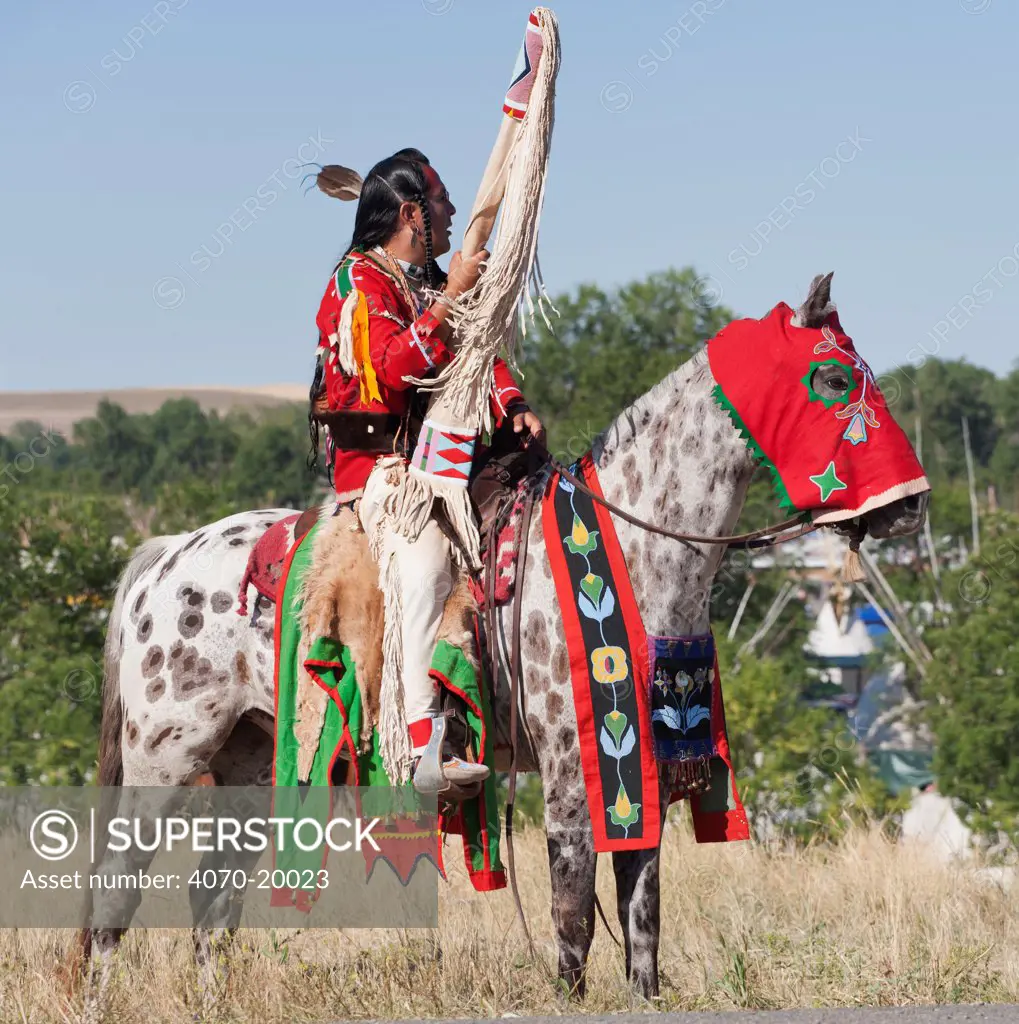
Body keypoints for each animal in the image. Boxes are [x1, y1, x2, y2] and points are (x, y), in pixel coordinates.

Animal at [75, 276, 929, 1003]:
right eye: (833, 380)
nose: (909, 506)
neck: (635, 545)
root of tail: (166, 557)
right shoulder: (572, 770)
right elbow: (572, 914)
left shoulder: (640, 769)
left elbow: (642, 916)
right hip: (162, 763)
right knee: (117, 892)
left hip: (248, 763)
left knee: (210, 902)